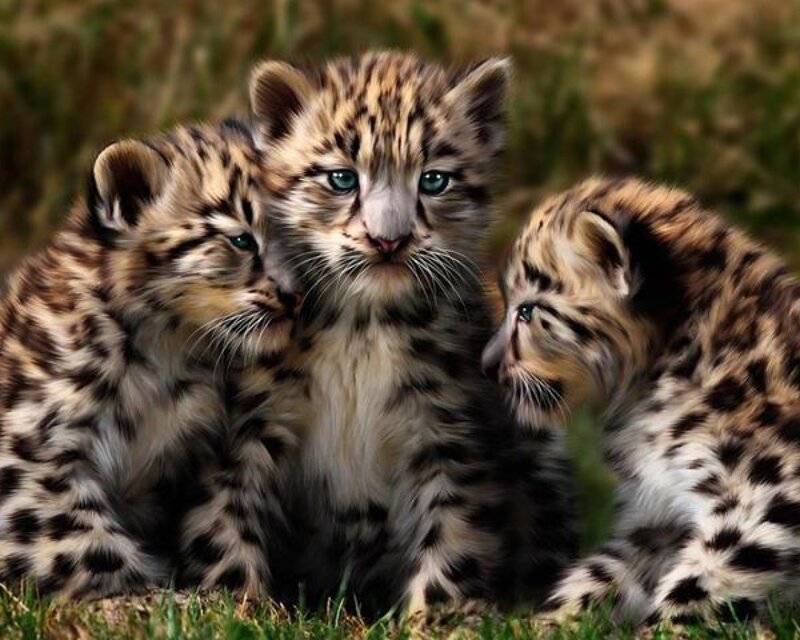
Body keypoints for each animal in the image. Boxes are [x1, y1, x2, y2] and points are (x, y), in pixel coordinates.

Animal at [0, 120, 306, 599]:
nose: (296, 296)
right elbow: (87, 546)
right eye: (240, 239)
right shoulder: (33, 453)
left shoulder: (214, 451)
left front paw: (238, 594)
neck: (167, 352)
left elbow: (220, 526)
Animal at [247, 50, 578, 615]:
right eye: (341, 179)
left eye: (434, 181)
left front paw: (435, 614)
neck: (362, 325)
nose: (389, 240)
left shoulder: (447, 432)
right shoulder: (261, 418)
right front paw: (233, 596)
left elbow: (454, 530)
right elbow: (230, 518)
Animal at [483, 175, 800, 623]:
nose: (486, 364)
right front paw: (554, 618)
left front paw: (664, 624)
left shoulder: (767, 494)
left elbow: (707, 574)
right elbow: (608, 569)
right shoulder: (659, 513)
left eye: (528, 311)